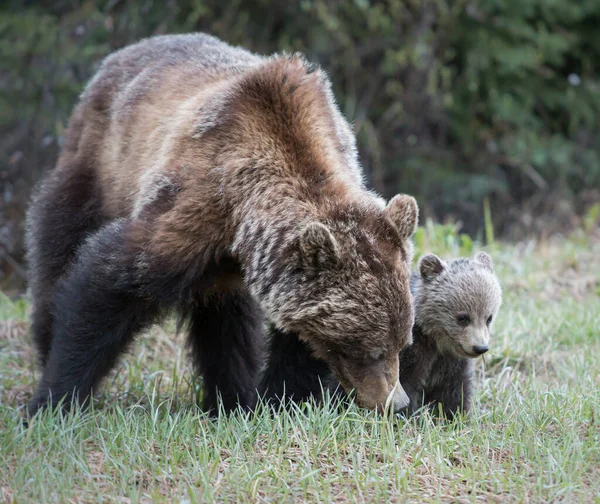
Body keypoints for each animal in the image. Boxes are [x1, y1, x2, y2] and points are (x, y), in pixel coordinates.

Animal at [23, 32, 418, 418]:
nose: (396, 402)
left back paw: (231, 398)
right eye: (369, 350)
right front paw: (54, 399)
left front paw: (280, 399)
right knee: (59, 249)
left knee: (225, 323)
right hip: (97, 169)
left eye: (402, 342)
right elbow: (108, 288)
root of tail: (123, 53)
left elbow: (295, 340)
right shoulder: (194, 210)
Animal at [258, 251, 502, 418]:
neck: (434, 339)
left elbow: (453, 393)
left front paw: (453, 419)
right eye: (463, 317)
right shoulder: (406, 353)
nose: (480, 347)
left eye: (488, 317)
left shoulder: (450, 361)